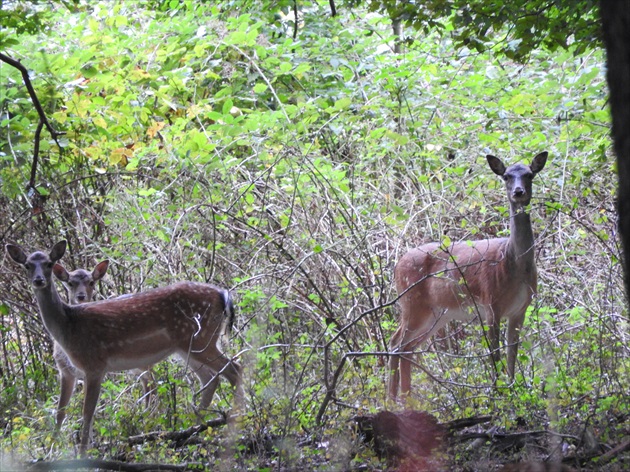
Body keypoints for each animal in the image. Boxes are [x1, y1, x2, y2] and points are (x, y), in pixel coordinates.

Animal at [52, 260, 158, 430]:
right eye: (70, 283)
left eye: (91, 282)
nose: (81, 296)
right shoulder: (65, 370)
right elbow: (60, 412)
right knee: (148, 382)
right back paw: (146, 415)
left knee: (153, 381)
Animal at [390, 153, 548, 400]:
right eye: (506, 176)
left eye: (530, 174)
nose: (518, 192)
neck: (513, 263)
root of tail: (397, 265)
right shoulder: (491, 303)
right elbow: (495, 353)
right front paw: (498, 394)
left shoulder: (520, 309)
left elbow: (512, 353)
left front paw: (512, 390)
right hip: (411, 303)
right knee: (395, 343)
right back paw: (393, 399)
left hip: (436, 314)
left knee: (407, 347)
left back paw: (405, 399)